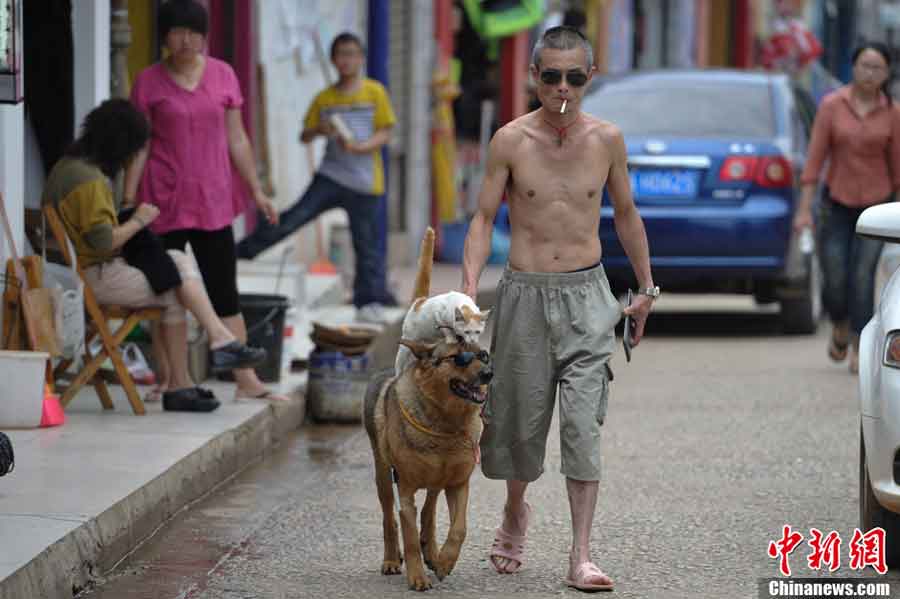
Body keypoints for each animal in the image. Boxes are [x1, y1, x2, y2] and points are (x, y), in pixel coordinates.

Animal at [364, 340, 492, 592]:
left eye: (483, 355)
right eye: (458, 358)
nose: (488, 374)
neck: (446, 424)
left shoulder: (458, 484)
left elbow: (459, 529)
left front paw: (444, 563)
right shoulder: (405, 491)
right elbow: (410, 537)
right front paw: (417, 578)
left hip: (437, 481)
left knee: (429, 510)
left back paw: (432, 553)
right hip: (383, 476)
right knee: (389, 519)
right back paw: (391, 559)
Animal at [396, 227, 492, 372]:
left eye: (477, 332)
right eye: (467, 331)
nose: (473, 341)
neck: (464, 306)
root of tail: (420, 301)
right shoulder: (439, 314)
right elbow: (446, 329)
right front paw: (452, 338)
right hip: (406, 343)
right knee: (400, 363)